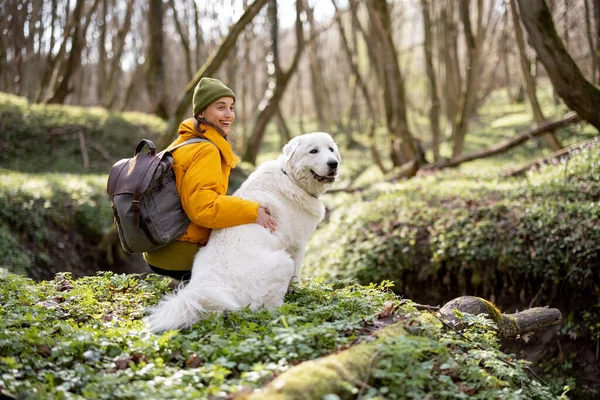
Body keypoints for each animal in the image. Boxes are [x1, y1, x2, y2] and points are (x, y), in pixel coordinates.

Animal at [147, 131, 340, 332]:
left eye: (331, 149)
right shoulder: (297, 248)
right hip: (283, 262)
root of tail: (211, 287)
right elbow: (296, 277)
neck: (291, 178)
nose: (333, 163)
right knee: (269, 308)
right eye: (313, 151)